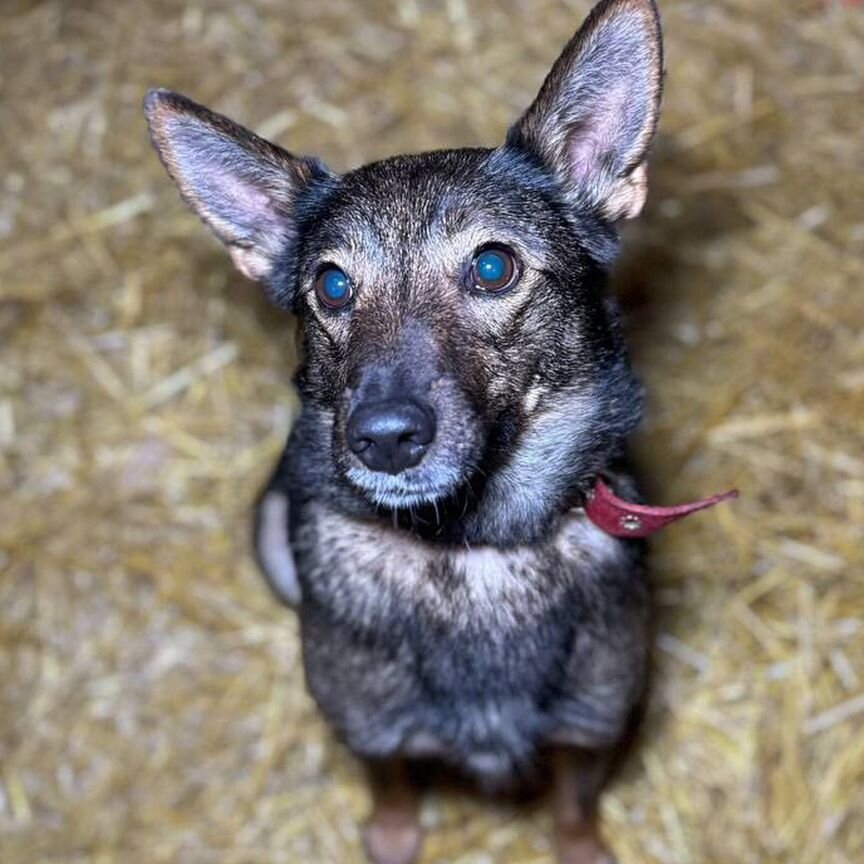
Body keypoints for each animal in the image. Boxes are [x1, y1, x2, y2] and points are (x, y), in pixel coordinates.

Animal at [145, 3, 664, 860]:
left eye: (492, 268)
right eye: (331, 285)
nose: (383, 438)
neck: (471, 551)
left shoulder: (591, 728)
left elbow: (573, 811)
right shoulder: (375, 734)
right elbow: (390, 795)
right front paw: (392, 835)